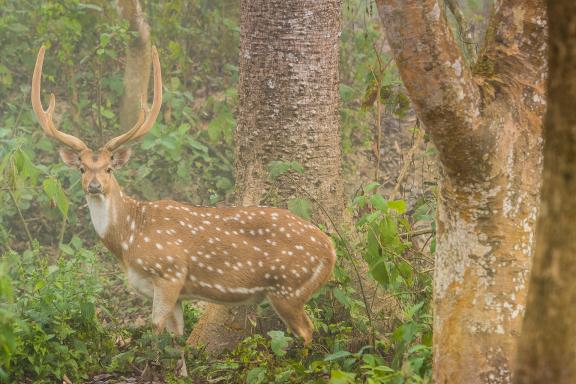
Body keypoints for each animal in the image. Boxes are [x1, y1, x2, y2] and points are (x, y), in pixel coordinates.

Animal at [32, 47, 338, 352]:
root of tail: (331, 249)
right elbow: (176, 339)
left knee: (307, 330)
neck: (129, 237)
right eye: (82, 168)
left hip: (288, 287)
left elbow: (155, 330)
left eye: (109, 168)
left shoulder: (169, 273)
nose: (94, 186)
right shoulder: (175, 292)